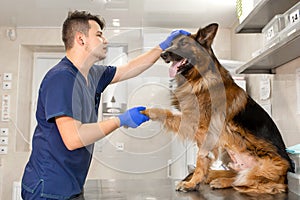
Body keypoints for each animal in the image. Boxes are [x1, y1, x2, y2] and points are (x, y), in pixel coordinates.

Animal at [142, 23, 292, 194]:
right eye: (171, 43)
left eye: (184, 44)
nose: (163, 54)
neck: (199, 79)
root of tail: (285, 178)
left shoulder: (203, 128)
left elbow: (200, 159)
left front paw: (192, 183)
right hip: (227, 151)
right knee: (235, 174)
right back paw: (220, 179)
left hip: (262, 168)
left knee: (244, 180)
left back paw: (222, 181)